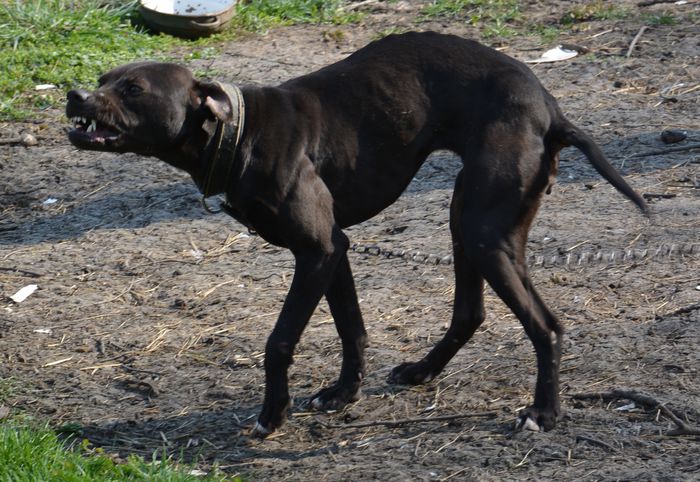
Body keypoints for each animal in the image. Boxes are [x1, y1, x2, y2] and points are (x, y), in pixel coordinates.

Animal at [65, 30, 644, 436]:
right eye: (103, 77)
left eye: (133, 88)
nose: (74, 95)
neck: (238, 133)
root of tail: (551, 107)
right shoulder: (331, 251)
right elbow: (351, 328)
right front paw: (343, 395)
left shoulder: (316, 253)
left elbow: (279, 340)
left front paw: (273, 413)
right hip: (467, 222)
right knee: (470, 312)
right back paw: (423, 371)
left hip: (484, 232)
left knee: (545, 325)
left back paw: (543, 413)